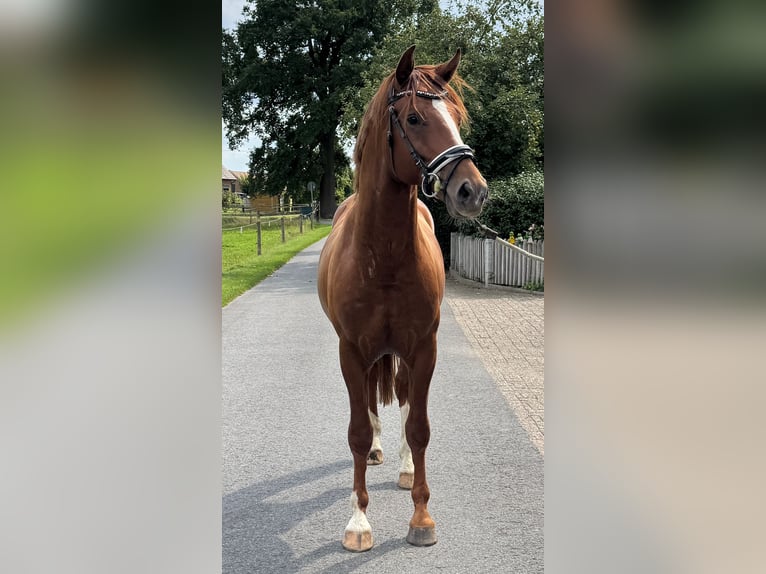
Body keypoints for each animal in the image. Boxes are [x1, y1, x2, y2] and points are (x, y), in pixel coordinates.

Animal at [317, 45, 488, 552]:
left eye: (456, 115)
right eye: (414, 118)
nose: (473, 191)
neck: (385, 256)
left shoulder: (424, 348)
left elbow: (419, 427)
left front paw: (421, 516)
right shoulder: (351, 352)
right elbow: (356, 431)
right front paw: (358, 522)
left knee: (408, 402)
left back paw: (405, 468)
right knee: (372, 406)